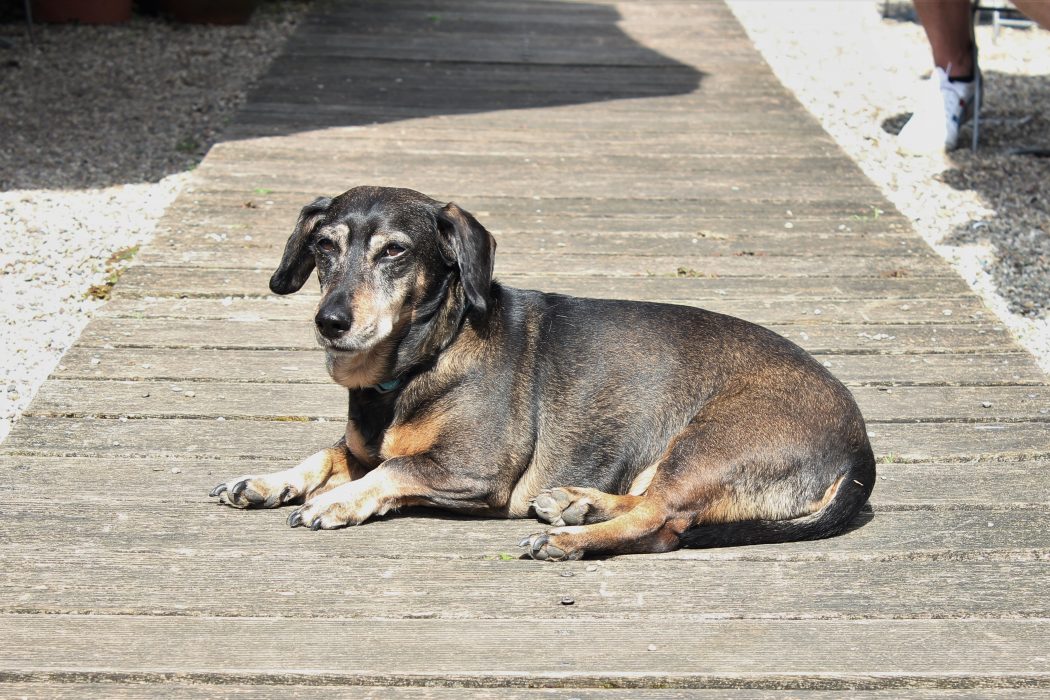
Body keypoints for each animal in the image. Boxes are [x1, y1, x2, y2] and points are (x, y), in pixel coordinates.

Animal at [208, 184, 873, 558]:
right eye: (324, 245)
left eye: (394, 251)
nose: (331, 322)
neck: (422, 360)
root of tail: (860, 448)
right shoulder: (361, 444)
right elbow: (326, 455)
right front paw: (265, 481)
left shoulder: (471, 471)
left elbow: (388, 471)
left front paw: (336, 502)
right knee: (648, 505)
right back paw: (576, 504)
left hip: (703, 447)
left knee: (662, 520)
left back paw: (567, 539)